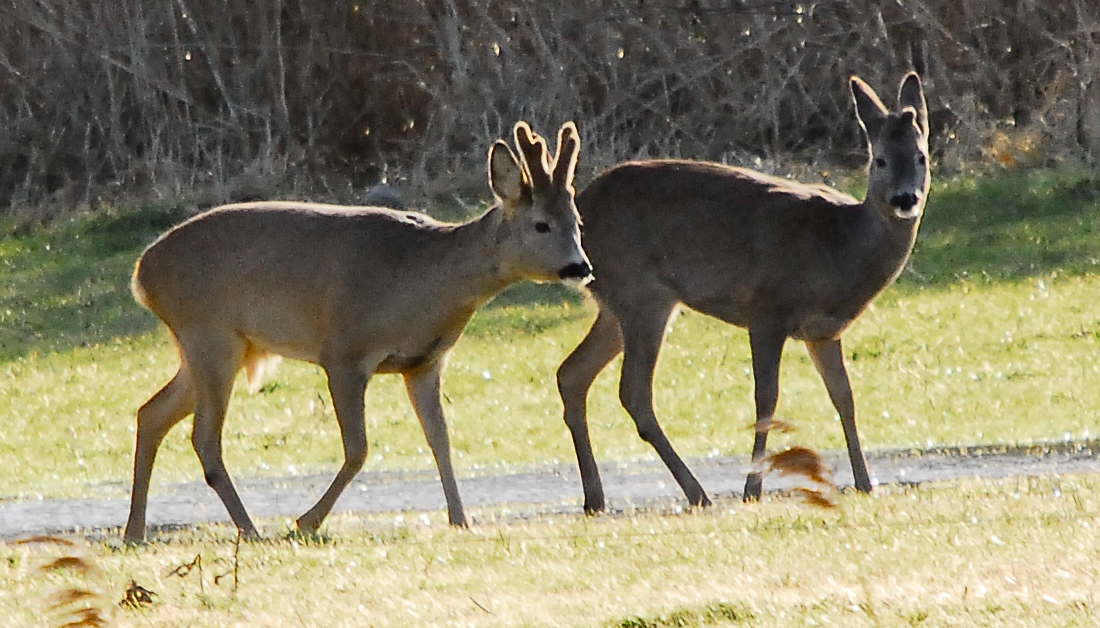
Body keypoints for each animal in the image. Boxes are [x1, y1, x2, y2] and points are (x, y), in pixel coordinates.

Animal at [122, 120, 594, 543]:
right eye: (541, 224)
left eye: (578, 222)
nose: (581, 267)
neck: (426, 277)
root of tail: (142, 272)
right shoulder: (345, 352)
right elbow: (359, 448)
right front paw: (306, 521)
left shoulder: (424, 363)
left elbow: (440, 439)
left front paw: (461, 519)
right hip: (209, 333)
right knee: (203, 437)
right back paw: (250, 529)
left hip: (219, 345)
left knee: (151, 413)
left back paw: (135, 531)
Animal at [558, 72, 928, 510]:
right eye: (880, 159)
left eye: (922, 157)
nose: (905, 198)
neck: (840, 246)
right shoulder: (768, 309)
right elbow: (766, 399)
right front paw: (753, 488)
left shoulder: (823, 333)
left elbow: (845, 397)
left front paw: (865, 481)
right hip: (642, 294)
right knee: (633, 392)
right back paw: (696, 492)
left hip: (616, 306)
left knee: (571, 374)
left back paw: (595, 498)